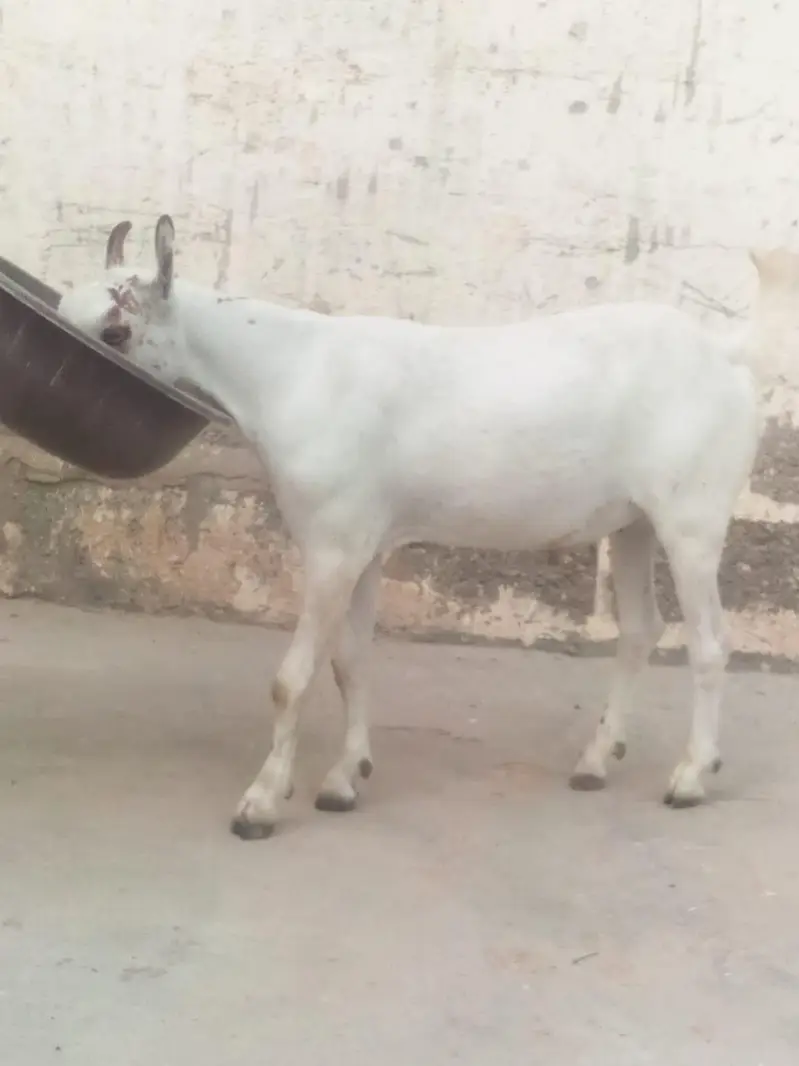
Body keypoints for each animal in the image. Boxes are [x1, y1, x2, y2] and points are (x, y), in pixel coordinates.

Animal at [58, 215, 765, 840]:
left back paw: (691, 776)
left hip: (691, 520)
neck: (294, 371)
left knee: (709, 642)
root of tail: (724, 356)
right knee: (642, 629)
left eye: (117, 330)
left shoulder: (331, 547)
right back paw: (596, 760)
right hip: (633, 522)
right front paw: (344, 779)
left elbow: (292, 679)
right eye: (64, 306)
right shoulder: (364, 547)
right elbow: (350, 663)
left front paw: (261, 802)